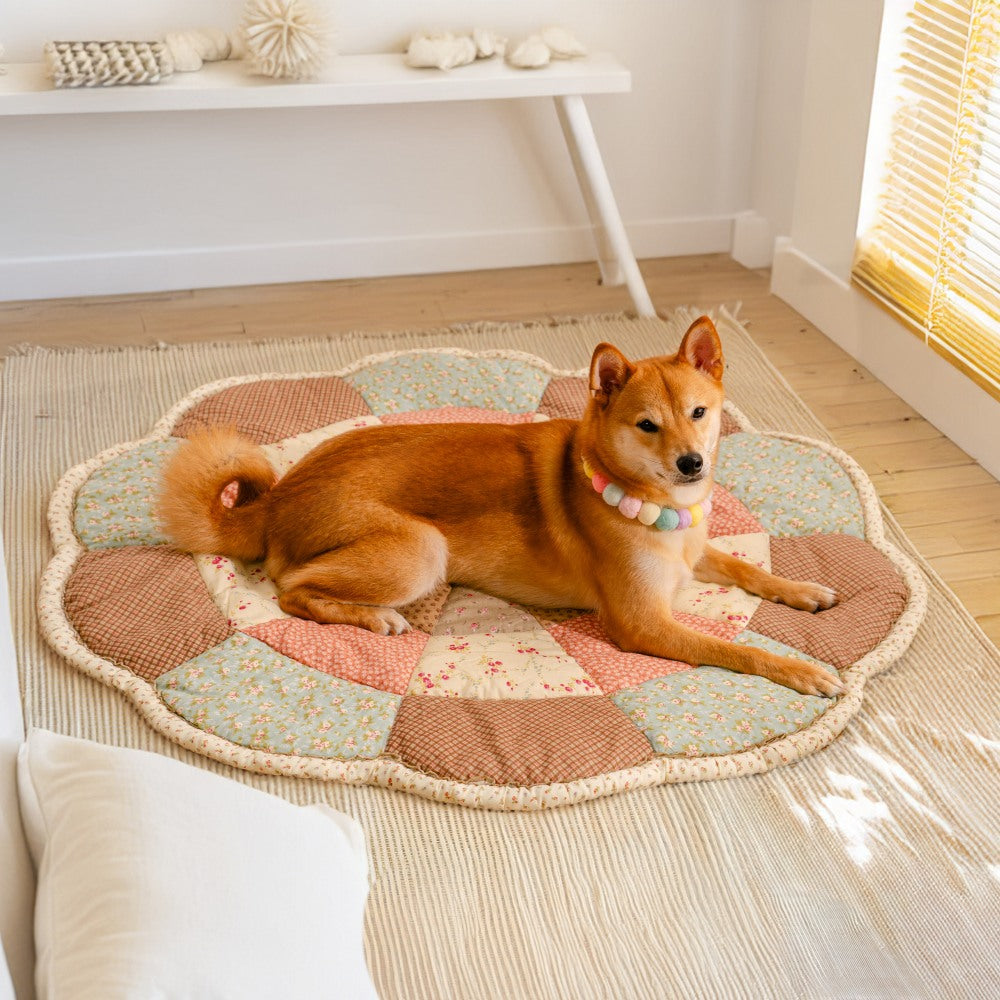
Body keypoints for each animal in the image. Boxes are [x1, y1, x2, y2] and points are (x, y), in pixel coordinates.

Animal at [158, 318, 844, 696]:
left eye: (699, 413)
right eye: (648, 425)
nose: (692, 464)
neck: (661, 514)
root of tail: (277, 497)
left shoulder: (695, 555)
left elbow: (749, 568)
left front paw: (803, 590)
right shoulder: (642, 623)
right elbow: (738, 651)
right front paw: (798, 670)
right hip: (421, 551)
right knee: (292, 589)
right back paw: (372, 619)